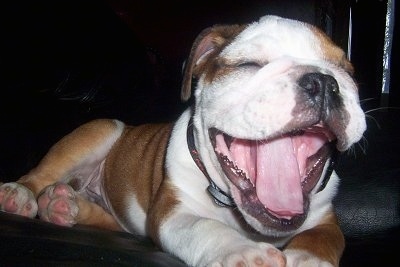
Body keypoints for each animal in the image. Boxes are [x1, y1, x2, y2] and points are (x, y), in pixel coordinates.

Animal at [0, 15, 366, 266]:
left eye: (346, 72)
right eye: (249, 64)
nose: (323, 81)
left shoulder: (326, 220)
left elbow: (321, 240)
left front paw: (308, 260)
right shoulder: (173, 213)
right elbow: (206, 228)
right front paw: (244, 253)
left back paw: (65, 206)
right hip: (102, 129)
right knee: (40, 174)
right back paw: (21, 195)